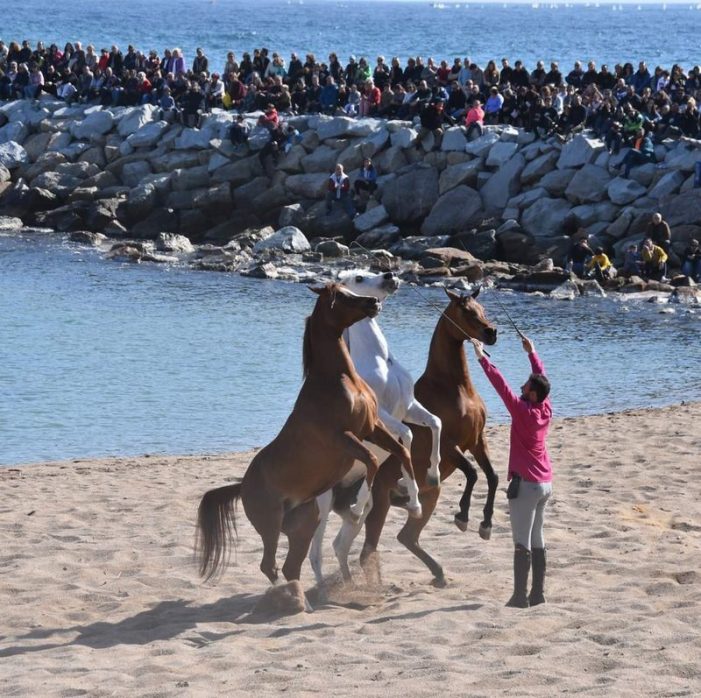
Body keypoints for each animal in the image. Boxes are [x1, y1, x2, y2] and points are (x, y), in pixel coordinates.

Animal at [196, 282, 416, 588]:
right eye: (342, 296)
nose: (373, 302)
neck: (338, 380)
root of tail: (241, 487)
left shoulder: (370, 429)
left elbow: (403, 450)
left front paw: (415, 502)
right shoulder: (342, 437)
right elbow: (372, 461)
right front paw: (358, 508)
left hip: (304, 525)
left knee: (290, 567)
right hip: (271, 526)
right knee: (270, 566)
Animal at [308, 270, 440, 584]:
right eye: (358, 279)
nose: (391, 276)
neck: (381, 360)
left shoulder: (410, 406)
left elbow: (434, 424)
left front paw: (431, 476)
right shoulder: (380, 416)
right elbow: (407, 435)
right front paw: (411, 492)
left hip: (359, 511)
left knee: (341, 544)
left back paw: (348, 583)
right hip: (322, 507)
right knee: (315, 553)